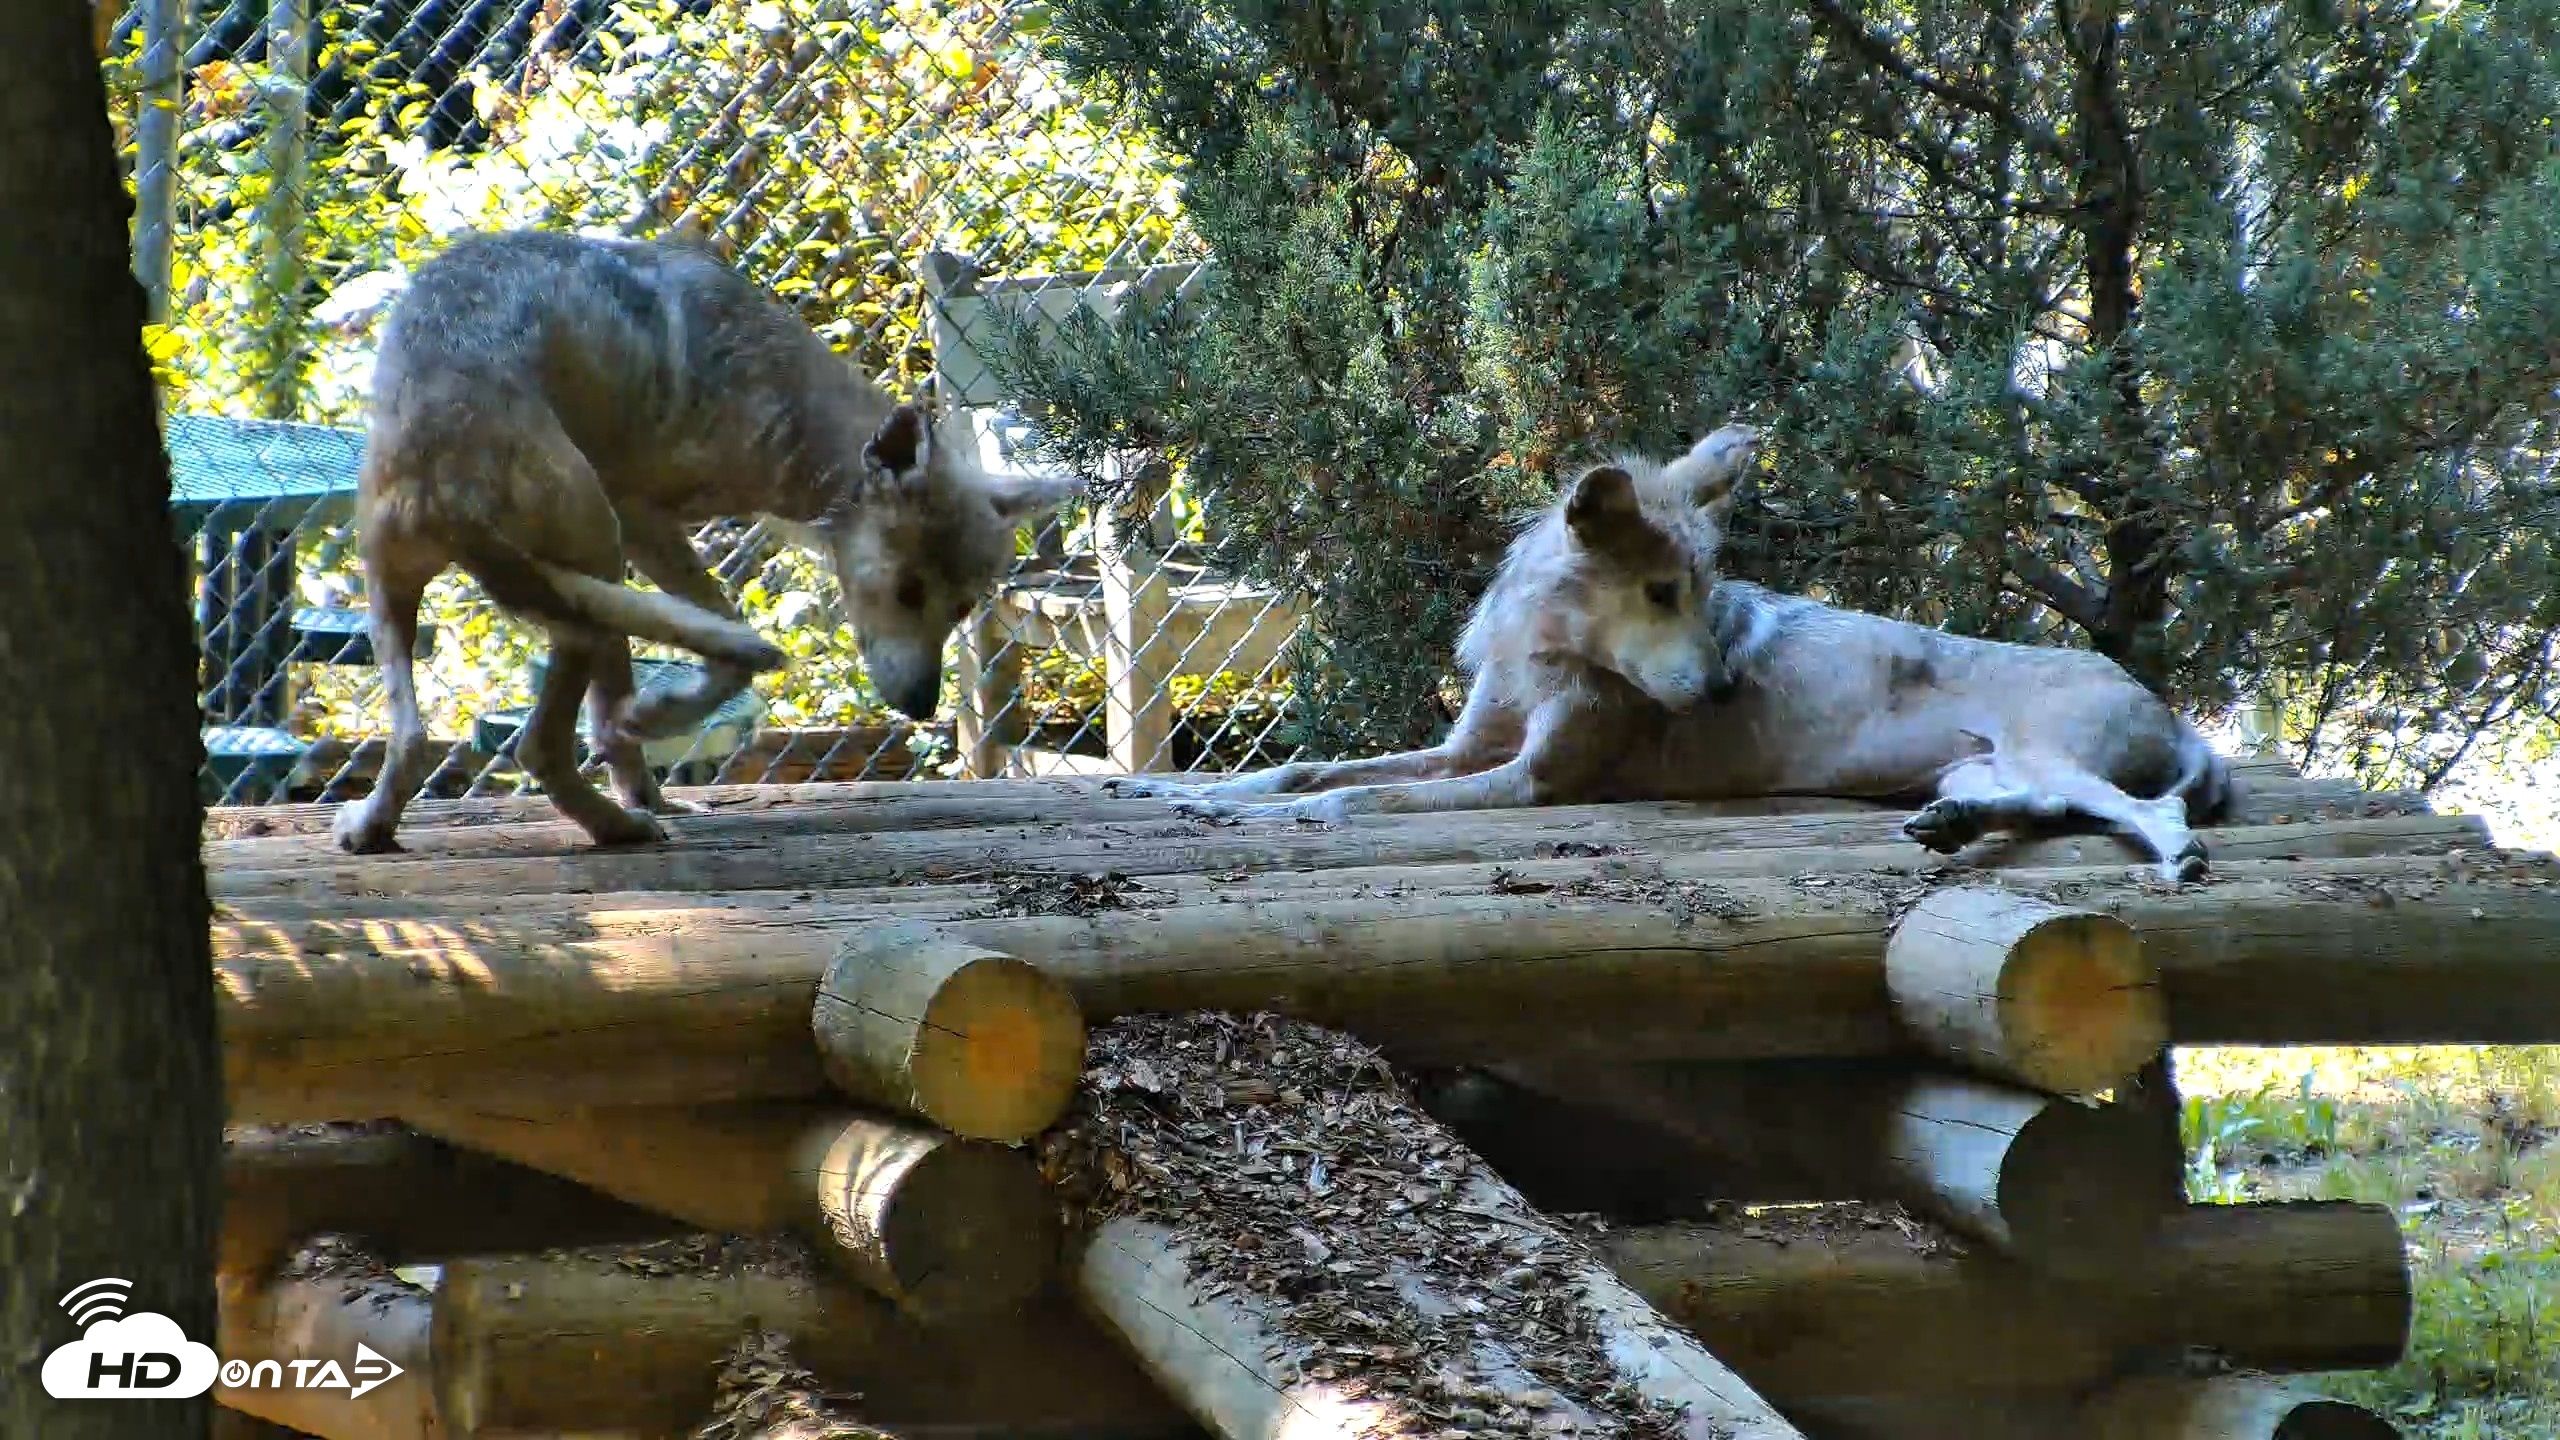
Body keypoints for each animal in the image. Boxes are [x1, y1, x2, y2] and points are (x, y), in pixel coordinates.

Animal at [330, 228, 1080, 854]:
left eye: (961, 608)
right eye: (908, 590)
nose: (924, 706)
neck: (791, 418)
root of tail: (447, 474)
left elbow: (623, 716)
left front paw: (648, 781)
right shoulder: (643, 523)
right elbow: (720, 660)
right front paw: (654, 720)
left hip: (410, 597)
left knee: (416, 739)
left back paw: (376, 829)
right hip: (592, 570)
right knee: (536, 747)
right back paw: (618, 827)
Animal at [1111, 424, 2232, 883]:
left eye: (1702, 590)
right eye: (1660, 591)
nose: (1727, 685)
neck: (1548, 649)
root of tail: (2177, 715)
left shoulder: (1530, 781)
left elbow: (1357, 798)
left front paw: (1272, 815)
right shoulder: (1469, 748)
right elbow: (1318, 764)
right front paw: (1194, 792)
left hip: (2049, 754)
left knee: (2141, 812)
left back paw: (2173, 853)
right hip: (1980, 767)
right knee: (2041, 810)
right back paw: (1953, 827)